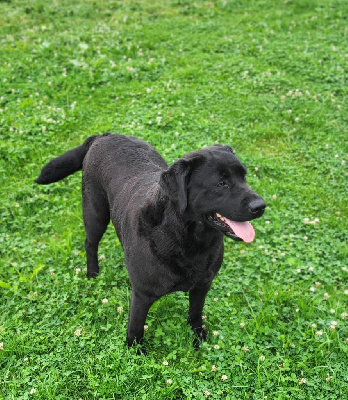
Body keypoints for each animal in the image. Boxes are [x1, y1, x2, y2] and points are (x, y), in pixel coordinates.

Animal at [35, 134, 266, 350]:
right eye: (221, 183)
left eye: (244, 177)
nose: (261, 205)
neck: (188, 240)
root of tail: (104, 135)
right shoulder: (142, 294)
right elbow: (136, 328)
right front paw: (135, 353)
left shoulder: (203, 284)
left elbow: (195, 314)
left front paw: (199, 339)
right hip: (95, 212)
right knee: (90, 244)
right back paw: (93, 274)